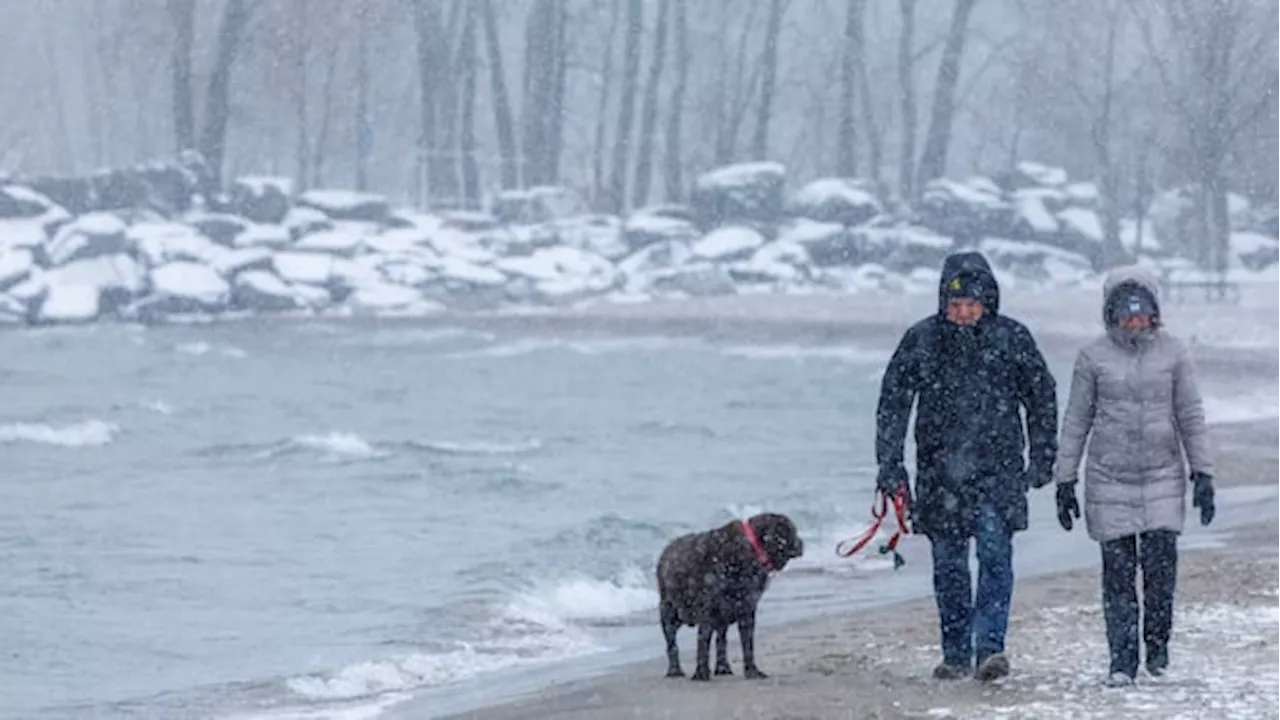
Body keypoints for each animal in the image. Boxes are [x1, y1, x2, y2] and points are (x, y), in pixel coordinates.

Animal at [660, 509, 798, 676]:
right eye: (792, 531)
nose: (800, 542)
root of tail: (665, 551)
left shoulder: (747, 610)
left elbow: (747, 643)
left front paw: (751, 670)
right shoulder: (707, 610)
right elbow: (703, 640)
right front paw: (701, 673)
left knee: (721, 640)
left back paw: (722, 667)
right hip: (669, 612)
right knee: (672, 643)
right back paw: (675, 669)